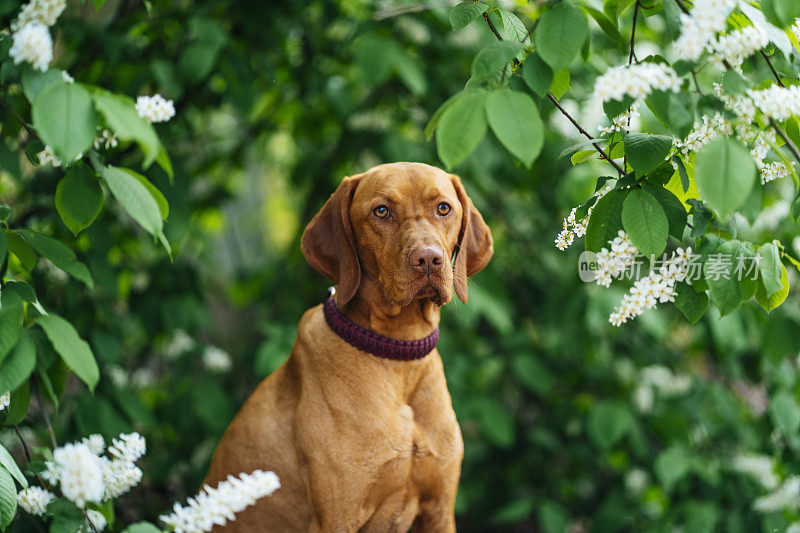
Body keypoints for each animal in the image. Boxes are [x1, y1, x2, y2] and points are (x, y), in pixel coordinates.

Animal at [205, 163, 494, 532]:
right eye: (381, 211)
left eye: (444, 208)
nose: (429, 259)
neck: (398, 354)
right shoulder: (336, 517)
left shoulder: (439, 511)